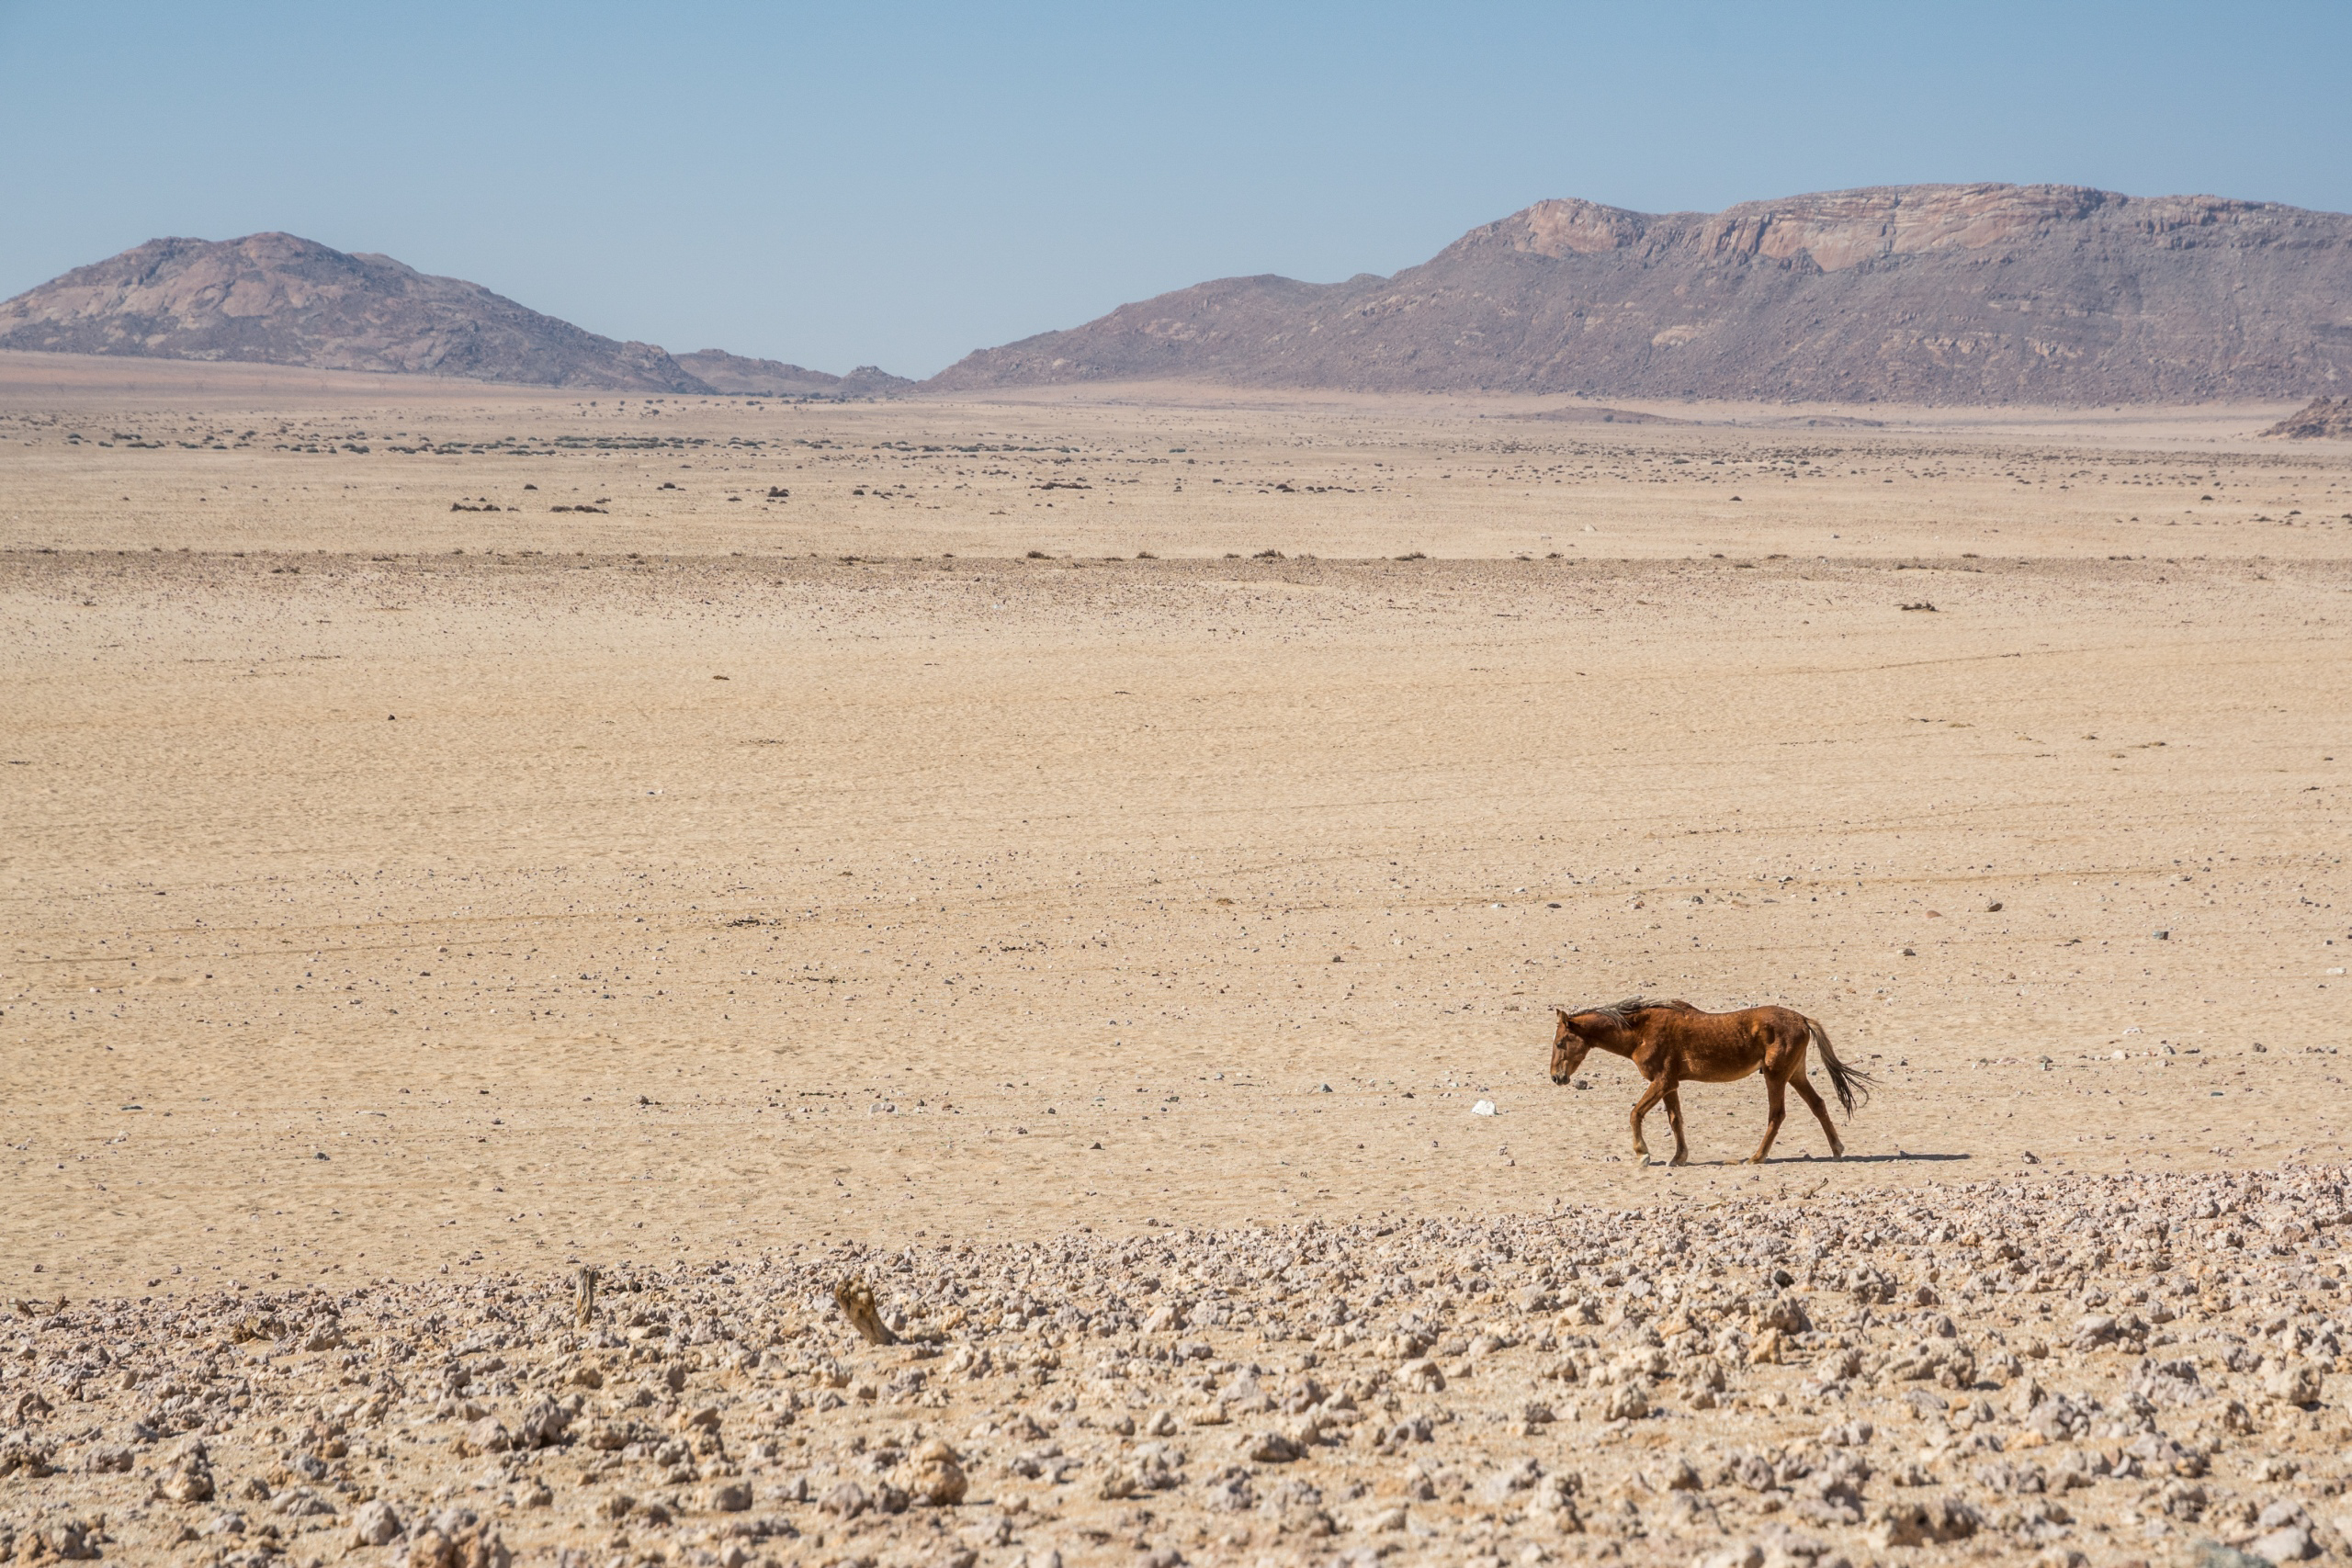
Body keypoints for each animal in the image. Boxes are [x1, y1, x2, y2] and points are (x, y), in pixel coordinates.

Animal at [1543, 1001, 1871, 1161]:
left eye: (1560, 1042)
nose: (1557, 1077)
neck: (1640, 1031)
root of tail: (1803, 1019)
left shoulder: (1661, 1081)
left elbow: (1635, 1113)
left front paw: (1642, 1153)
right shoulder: (1670, 1084)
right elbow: (1675, 1120)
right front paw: (1678, 1158)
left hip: (1776, 1076)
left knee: (1777, 1115)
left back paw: (1756, 1158)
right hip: (1795, 1074)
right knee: (1818, 1105)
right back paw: (1837, 1150)